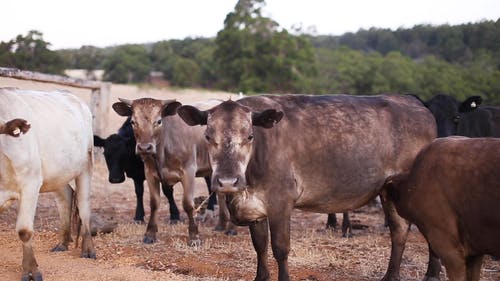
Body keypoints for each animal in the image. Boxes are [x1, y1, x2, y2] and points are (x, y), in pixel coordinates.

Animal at [0, 87, 95, 280]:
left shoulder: (30, 184)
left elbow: (24, 230)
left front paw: (31, 271)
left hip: (85, 167)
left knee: (83, 206)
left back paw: (88, 249)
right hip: (57, 173)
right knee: (66, 196)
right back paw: (63, 242)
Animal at [113, 98, 234, 245]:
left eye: (159, 121)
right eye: (133, 122)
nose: (144, 148)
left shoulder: (189, 171)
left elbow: (188, 204)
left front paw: (194, 236)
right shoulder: (150, 173)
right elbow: (154, 203)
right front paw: (150, 234)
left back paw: (232, 228)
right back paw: (221, 225)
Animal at [178, 94, 436, 280]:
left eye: (250, 135)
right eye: (208, 136)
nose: (227, 181)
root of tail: (415, 103)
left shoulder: (281, 202)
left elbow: (280, 248)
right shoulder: (255, 207)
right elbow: (260, 246)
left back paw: (431, 275)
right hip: (387, 190)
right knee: (399, 231)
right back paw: (390, 276)